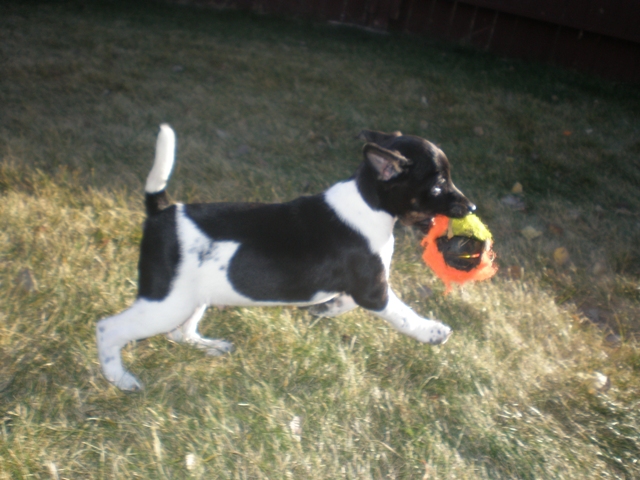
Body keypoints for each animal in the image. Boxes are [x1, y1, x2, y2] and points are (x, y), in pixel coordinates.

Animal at [95, 124, 476, 390]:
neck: (368, 200)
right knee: (108, 329)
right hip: (165, 303)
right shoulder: (374, 290)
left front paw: (325, 309)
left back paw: (210, 347)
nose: (471, 207)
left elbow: (342, 304)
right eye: (438, 186)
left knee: (178, 334)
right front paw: (433, 333)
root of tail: (162, 210)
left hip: (192, 297)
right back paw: (120, 378)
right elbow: (404, 316)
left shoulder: (363, 289)